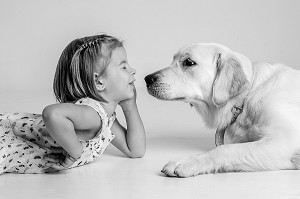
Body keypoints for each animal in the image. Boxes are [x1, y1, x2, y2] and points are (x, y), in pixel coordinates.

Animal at [144, 43, 300, 177]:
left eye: (189, 62)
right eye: (173, 60)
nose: (147, 79)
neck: (248, 95)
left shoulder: (284, 141)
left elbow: (223, 149)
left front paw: (188, 163)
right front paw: (184, 159)